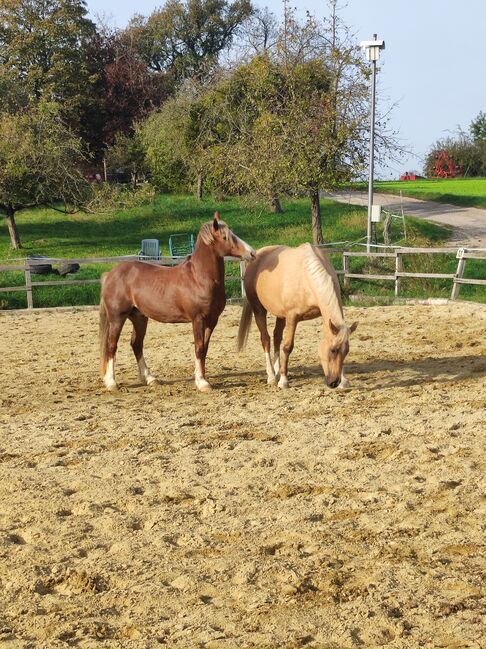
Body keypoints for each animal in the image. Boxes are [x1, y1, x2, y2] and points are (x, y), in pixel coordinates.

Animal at [100, 215, 256, 392]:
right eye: (225, 237)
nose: (252, 253)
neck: (199, 278)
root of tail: (110, 274)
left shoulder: (212, 320)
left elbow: (204, 349)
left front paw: (201, 377)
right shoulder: (198, 319)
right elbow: (199, 347)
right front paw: (202, 383)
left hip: (139, 318)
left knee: (136, 344)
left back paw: (150, 379)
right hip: (117, 318)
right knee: (111, 345)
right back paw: (111, 382)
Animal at [238, 242, 356, 384]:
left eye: (347, 351)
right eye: (332, 350)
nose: (333, 382)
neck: (307, 277)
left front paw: (344, 381)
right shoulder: (292, 317)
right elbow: (287, 347)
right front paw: (284, 381)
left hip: (281, 315)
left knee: (276, 337)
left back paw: (276, 372)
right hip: (259, 309)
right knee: (265, 339)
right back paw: (271, 376)